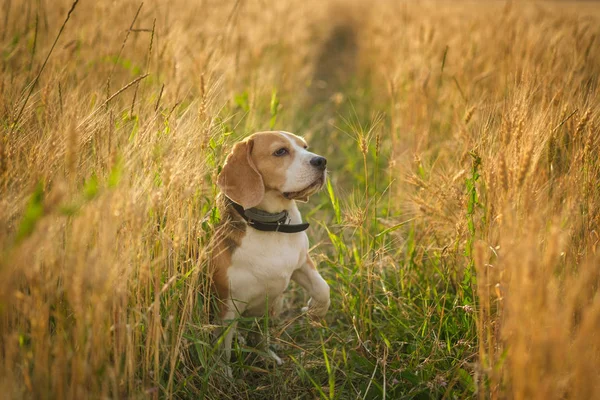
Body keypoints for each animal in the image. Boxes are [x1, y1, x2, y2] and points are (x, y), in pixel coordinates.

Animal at [210, 131, 332, 372]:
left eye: (305, 146)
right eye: (280, 151)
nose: (321, 161)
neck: (271, 226)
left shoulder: (301, 263)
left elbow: (323, 288)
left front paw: (315, 311)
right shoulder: (227, 308)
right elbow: (223, 351)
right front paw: (224, 374)